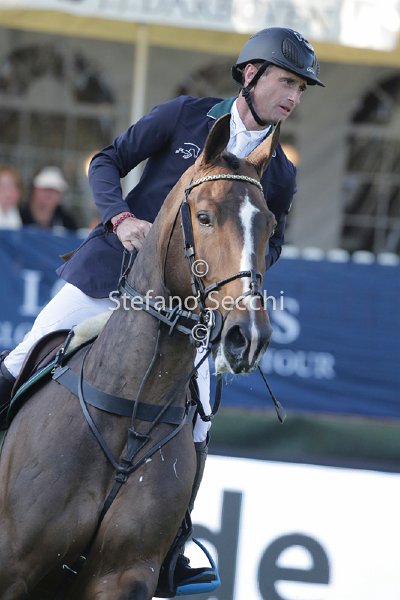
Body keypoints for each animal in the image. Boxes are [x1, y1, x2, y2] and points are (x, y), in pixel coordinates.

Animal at [0, 113, 279, 600]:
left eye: (270, 226)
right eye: (204, 217)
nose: (249, 337)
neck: (128, 409)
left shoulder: (124, 576)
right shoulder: (11, 566)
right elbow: (109, 158)